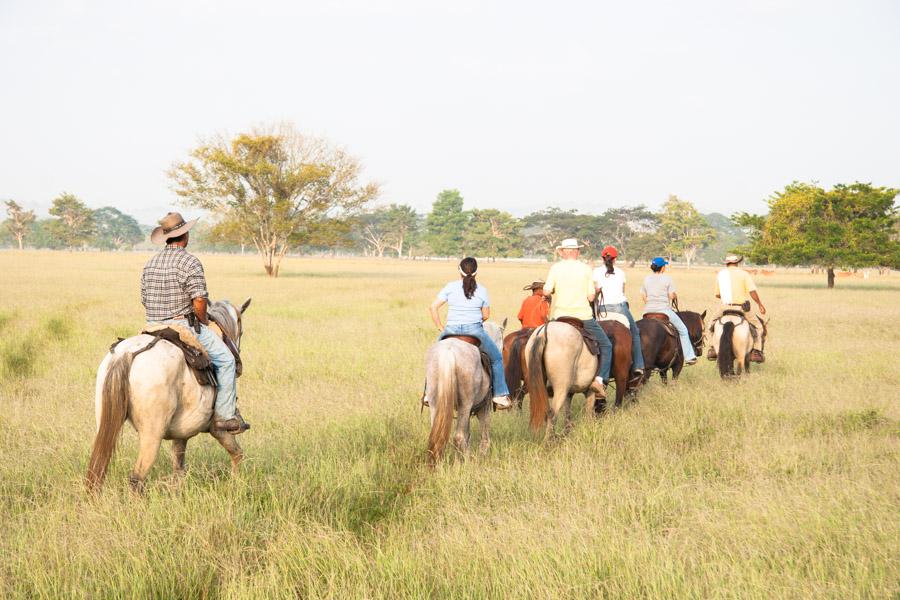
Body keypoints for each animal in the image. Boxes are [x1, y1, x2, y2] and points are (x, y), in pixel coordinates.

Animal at [87, 298, 250, 492]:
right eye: (241, 331)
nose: (238, 361)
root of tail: (128, 353)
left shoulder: (181, 434)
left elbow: (178, 469)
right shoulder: (218, 428)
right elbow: (238, 454)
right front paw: (237, 484)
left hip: (105, 423)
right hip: (152, 435)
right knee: (136, 478)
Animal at [424, 318, 502, 464]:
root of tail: (449, 352)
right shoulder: (484, 407)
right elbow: (483, 434)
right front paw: (481, 455)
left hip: (435, 402)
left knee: (437, 435)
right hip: (465, 404)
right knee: (459, 437)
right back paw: (466, 462)